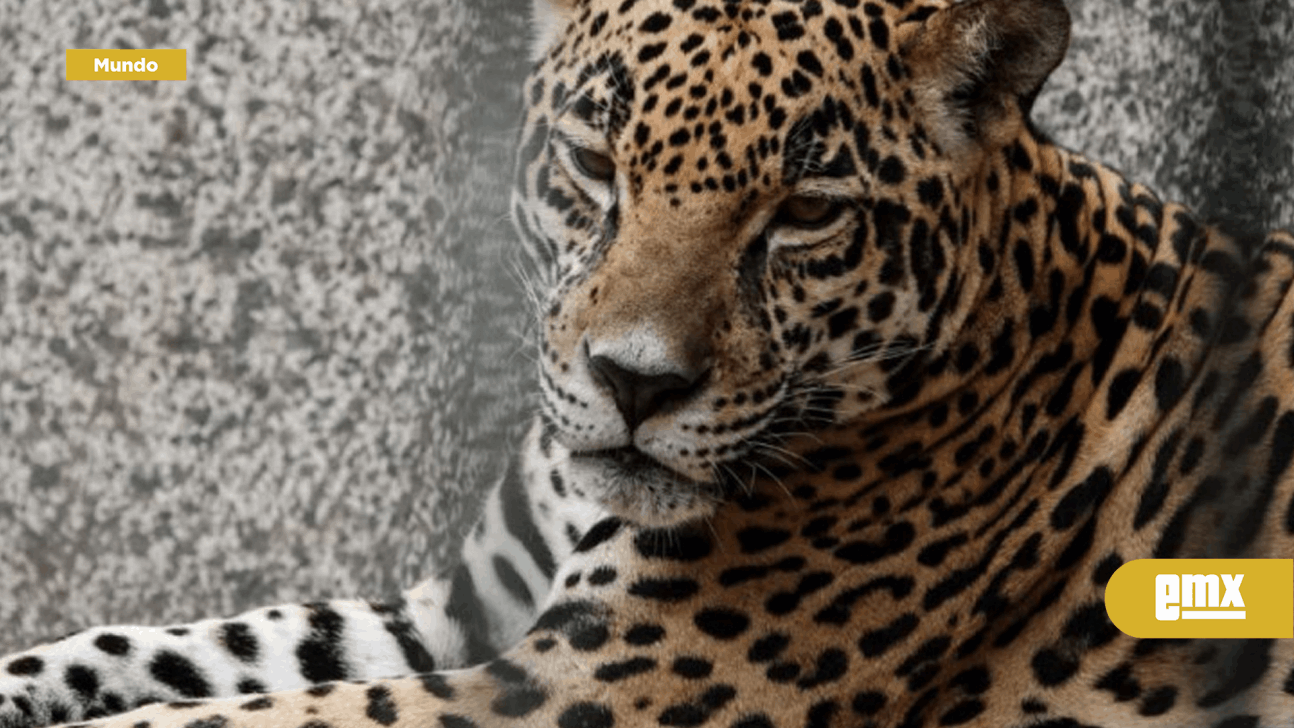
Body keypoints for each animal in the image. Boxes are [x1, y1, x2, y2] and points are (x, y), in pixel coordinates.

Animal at [3, 0, 1294, 726]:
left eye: (807, 211)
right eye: (593, 162)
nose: (635, 383)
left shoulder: (575, 689)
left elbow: (244, 716)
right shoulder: (459, 615)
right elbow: (202, 643)